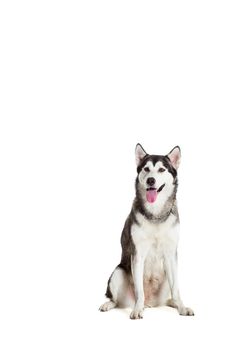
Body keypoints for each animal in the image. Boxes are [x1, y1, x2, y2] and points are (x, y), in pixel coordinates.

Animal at [99, 144, 194, 318]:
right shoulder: (137, 254)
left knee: (170, 295)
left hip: (166, 278)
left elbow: (176, 289)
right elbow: (139, 290)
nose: (151, 180)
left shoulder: (171, 254)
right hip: (118, 273)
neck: (156, 215)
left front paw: (182, 308)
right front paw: (137, 310)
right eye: (146, 169)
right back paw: (111, 304)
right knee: (117, 301)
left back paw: (174, 304)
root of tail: (151, 304)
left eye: (162, 169)